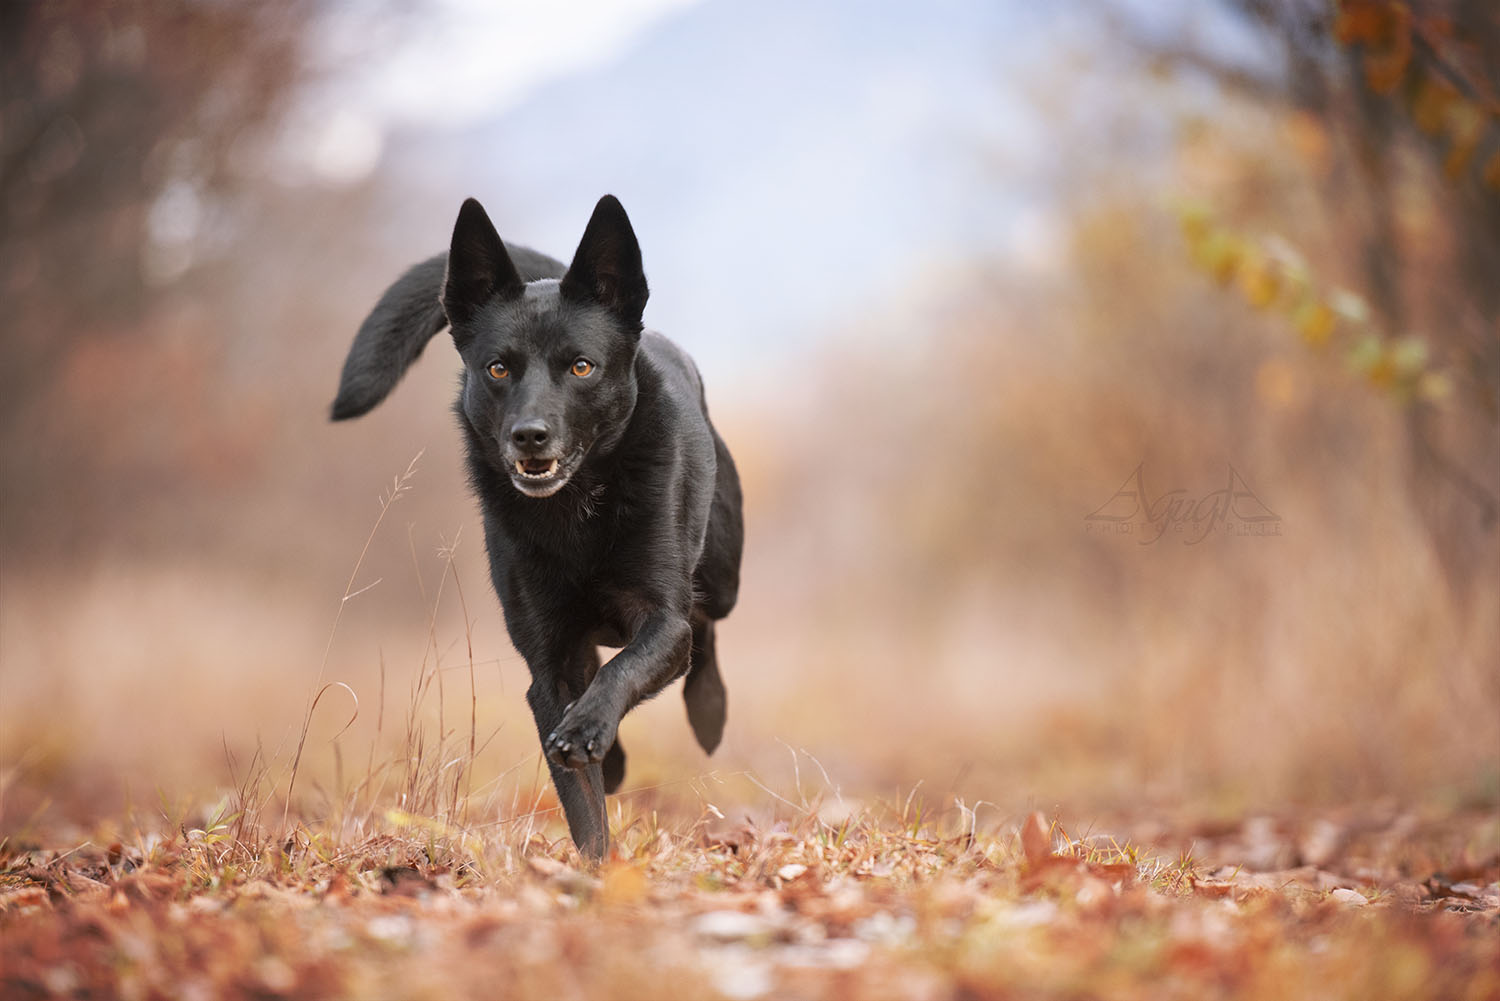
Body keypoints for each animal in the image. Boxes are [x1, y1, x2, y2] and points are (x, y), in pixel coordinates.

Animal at [334, 198, 744, 864]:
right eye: (498, 368)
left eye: (581, 366)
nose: (529, 435)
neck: (575, 514)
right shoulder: (548, 660)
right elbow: (582, 799)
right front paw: (595, 865)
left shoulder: (660, 616)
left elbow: (629, 665)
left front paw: (589, 728)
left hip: (722, 571)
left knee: (703, 630)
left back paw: (707, 712)